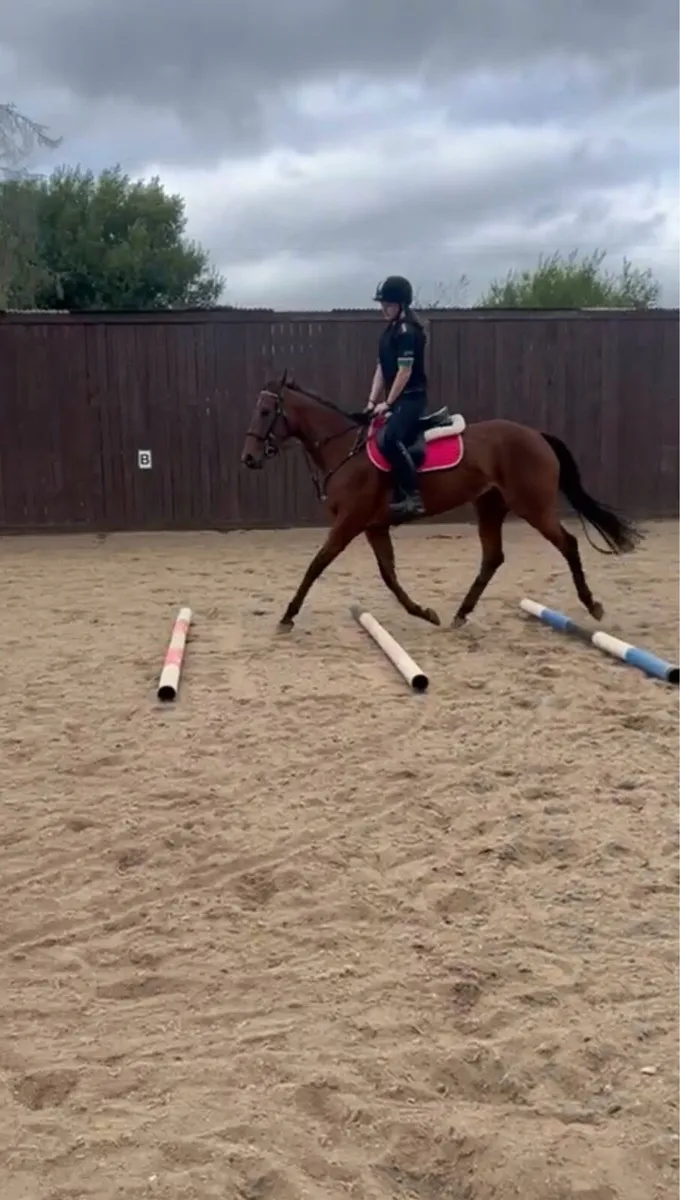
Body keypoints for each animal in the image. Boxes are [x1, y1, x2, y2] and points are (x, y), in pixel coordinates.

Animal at [241, 371, 643, 630]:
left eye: (266, 412)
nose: (248, 458)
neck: (346, 449)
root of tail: (535, 435)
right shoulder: (374, 527)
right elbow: (389, 577)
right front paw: (424, 612)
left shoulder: (350, 523)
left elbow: (316, 565)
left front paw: (288, 615)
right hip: (490, 506)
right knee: (492, 557)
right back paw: (461, 613)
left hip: (533, 506)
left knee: (568, 544)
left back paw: (593, 606)